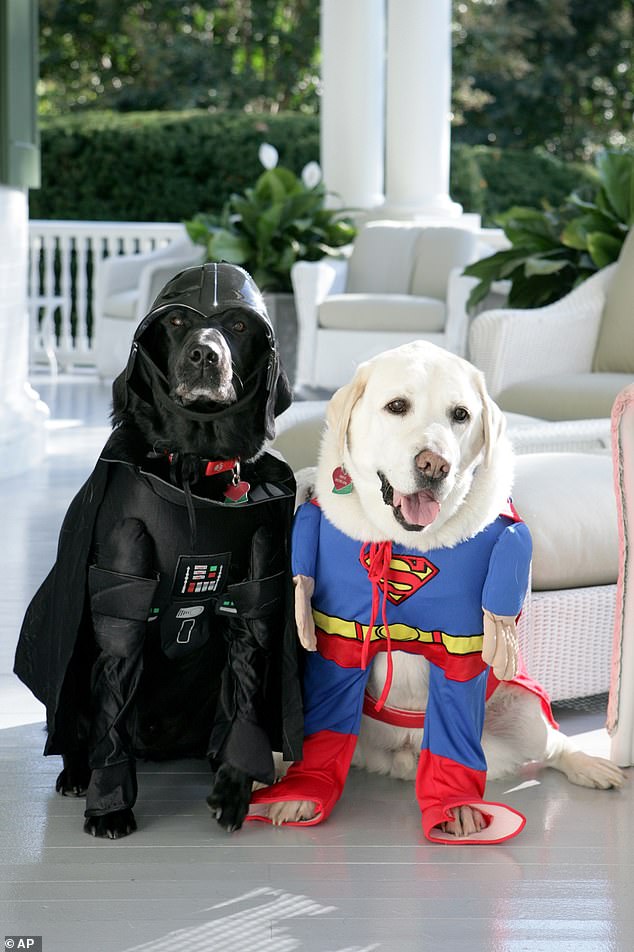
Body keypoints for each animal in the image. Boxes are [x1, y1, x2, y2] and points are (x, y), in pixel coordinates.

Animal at [14, 264, 302, 836]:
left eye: (238, 324)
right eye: (175, 321)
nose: (205, 355)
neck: (194, 466)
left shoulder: (255, 596)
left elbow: (245, 694)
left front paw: (235, 788)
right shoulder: (123, 592)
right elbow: (112, 704)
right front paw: (109, 806)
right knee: (73, 725)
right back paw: (75, 772)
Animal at [248, 340, 624, 840]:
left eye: (460, 414)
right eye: (396, 406)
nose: (434, 464)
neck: (407, 542)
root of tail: (401, 757)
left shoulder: (463, 651)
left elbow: (454, 736)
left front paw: (454, 803)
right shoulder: (339, 643)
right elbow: (326, 732)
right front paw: (303, 791)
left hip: (525, 710)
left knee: (555, 745)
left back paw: (590, 764)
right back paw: (270, 771)